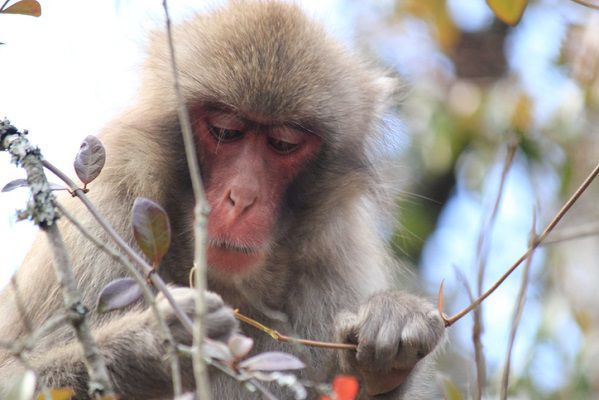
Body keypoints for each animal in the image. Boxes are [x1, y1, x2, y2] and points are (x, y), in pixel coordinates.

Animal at [0, 1, 446, 398]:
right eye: (226, 131)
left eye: (283, 143)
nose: (243, 197)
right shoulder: (104, 217)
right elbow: (13, 377)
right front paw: (160, 344)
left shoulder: (336, 266)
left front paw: (387, 347)